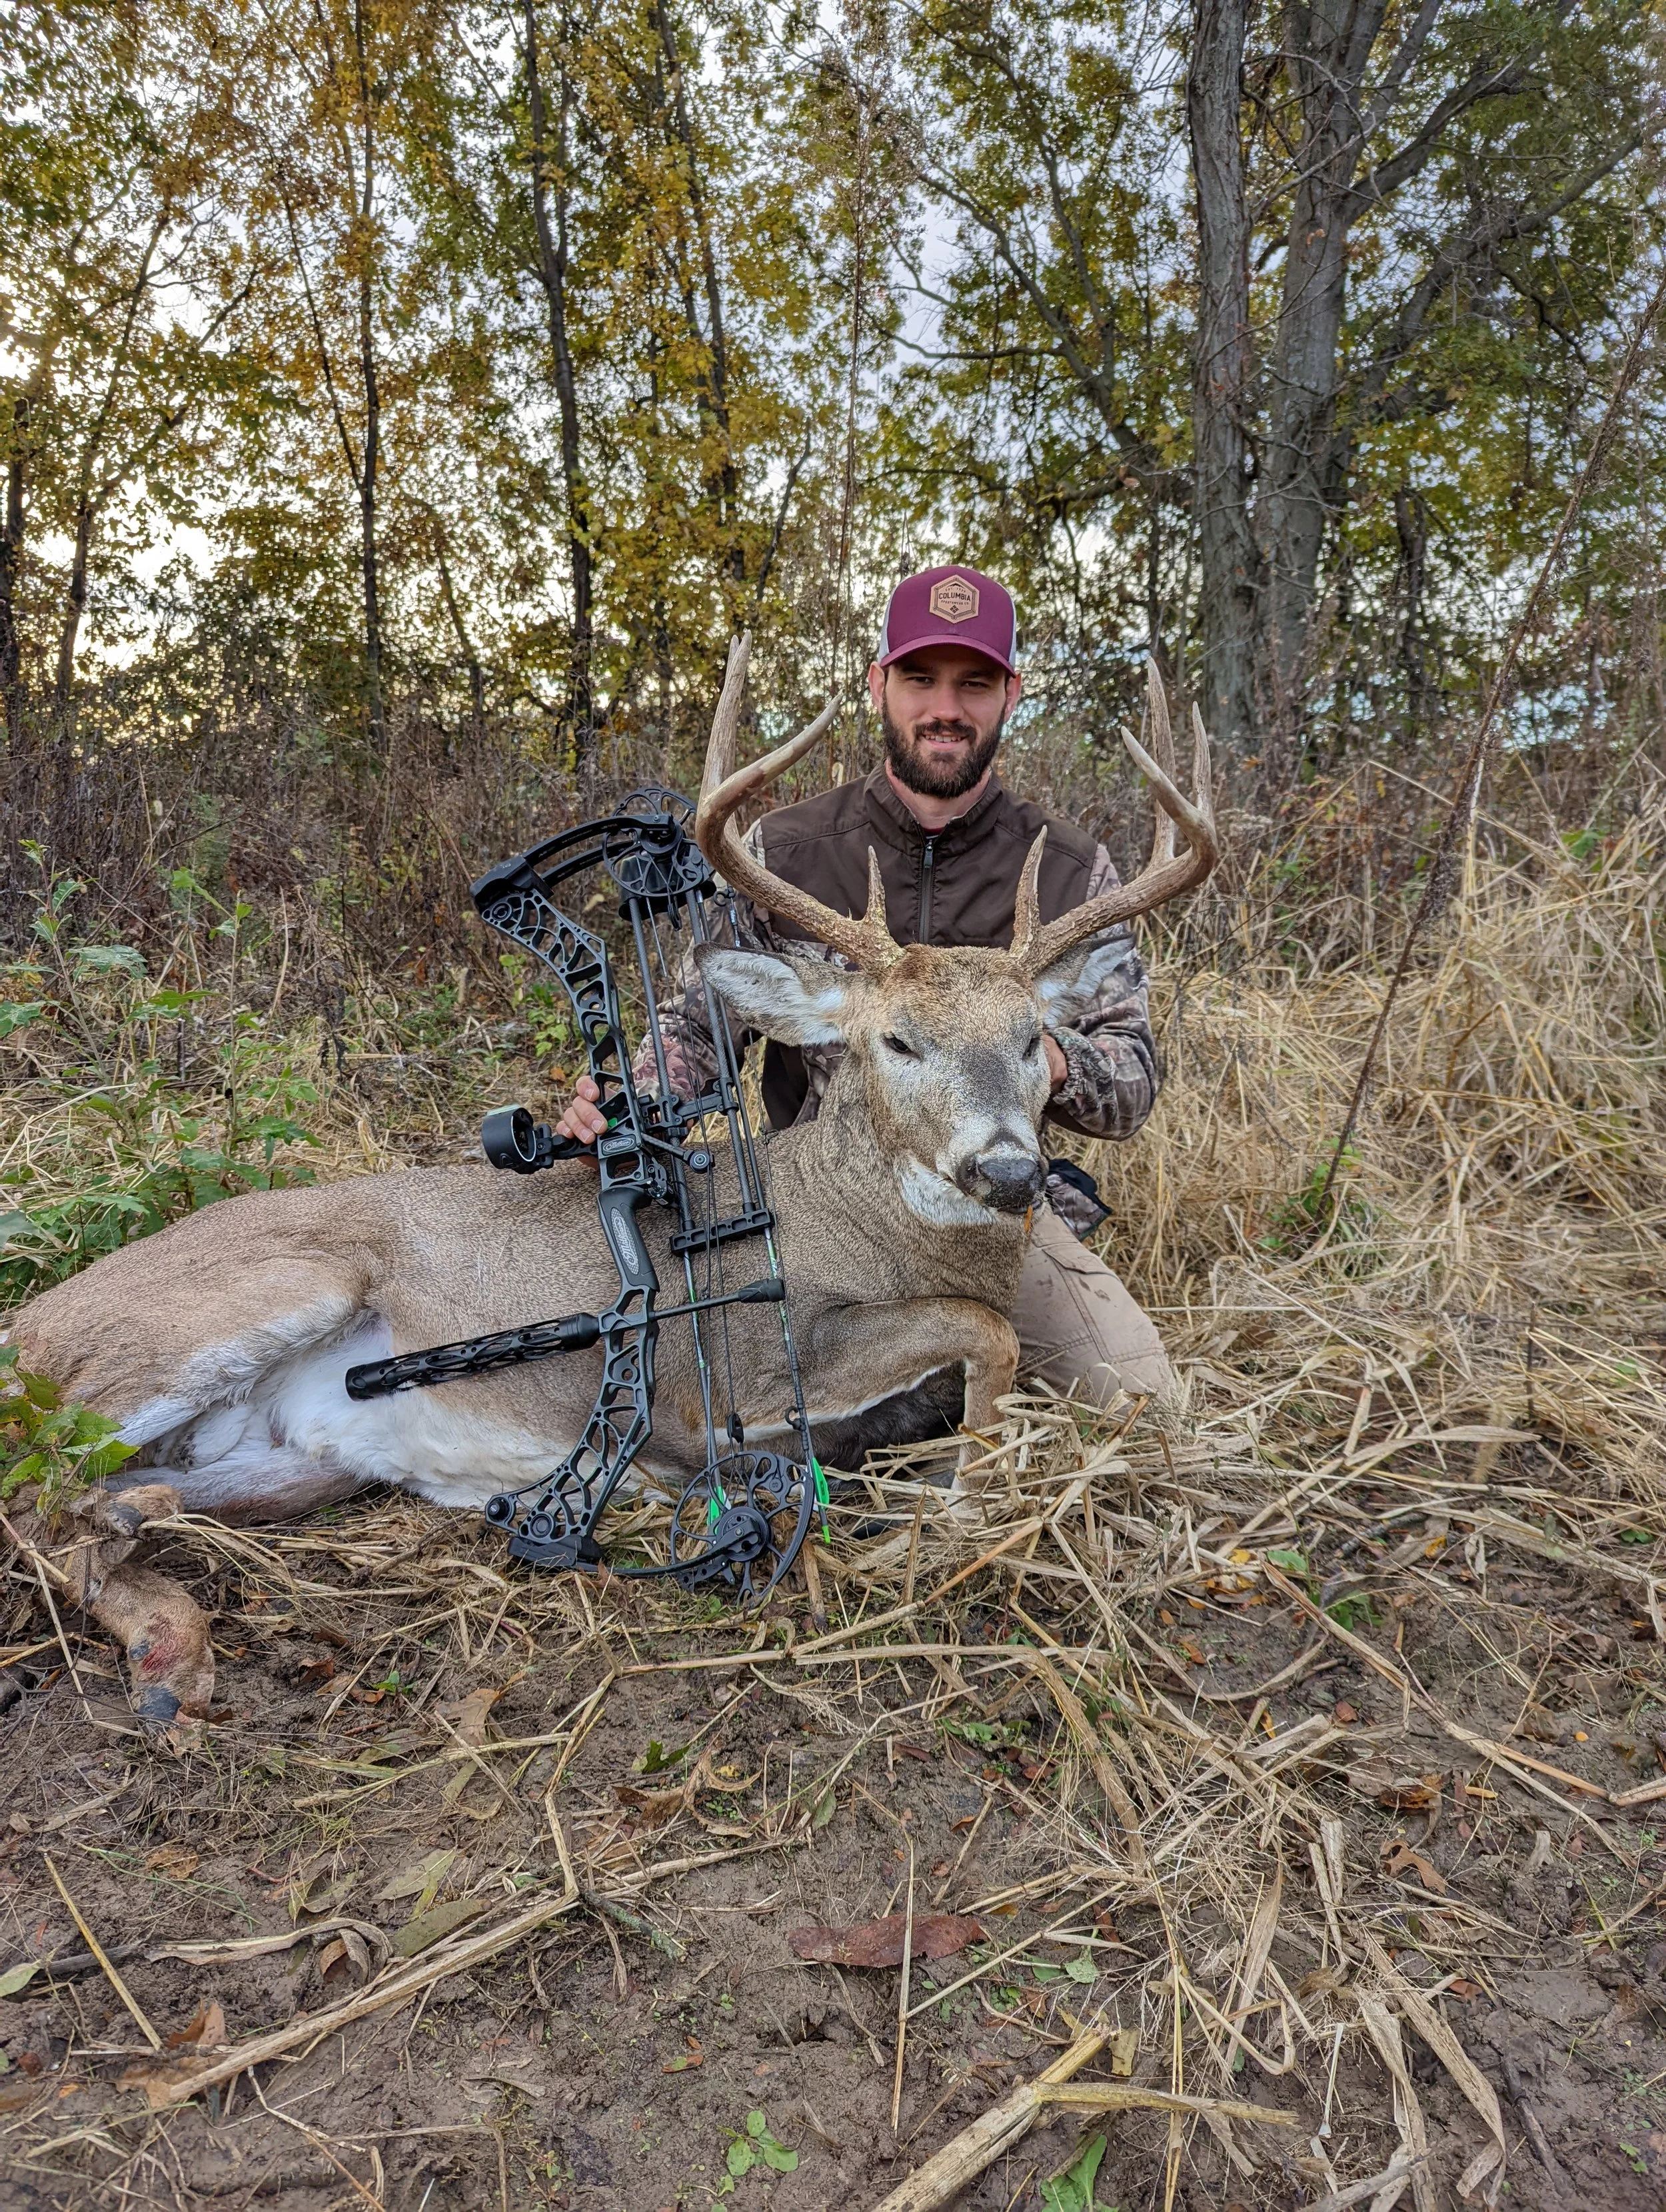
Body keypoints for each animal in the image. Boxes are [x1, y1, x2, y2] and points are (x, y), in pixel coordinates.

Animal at [3, 648, 1218, 1725]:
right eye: (898, 1041)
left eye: (1035, 1042)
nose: (1006, 1166)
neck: (859, 1217)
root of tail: (35, 1321)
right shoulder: (730, 1377)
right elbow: (982, 1329)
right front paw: (967, 1493)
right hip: (225, 1309)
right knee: (34, 1489)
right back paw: (168, 1653)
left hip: (293, 1467)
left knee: (102, 1499)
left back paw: (166, 1621)